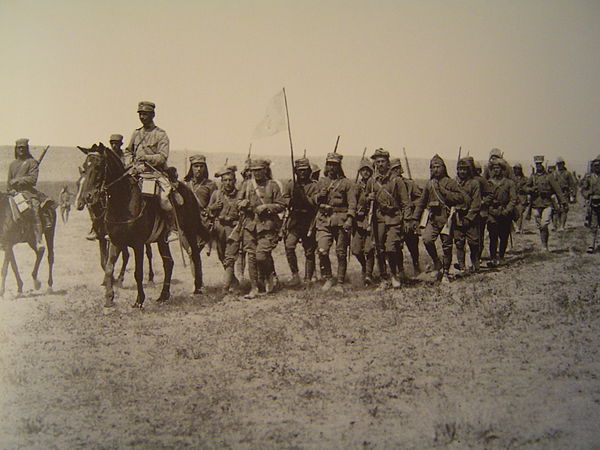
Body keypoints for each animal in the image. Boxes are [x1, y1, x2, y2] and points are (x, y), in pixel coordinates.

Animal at [76, 142, 207, 308]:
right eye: (84, 167)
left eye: (98, 166)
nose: (87, 196)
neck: (123, 202)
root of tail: (189, 192)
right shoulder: (115, 241)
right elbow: (109, 267)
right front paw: (109, 298)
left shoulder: (138, 244)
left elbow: (138, 273)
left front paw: (139, 301)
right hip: (161, 240)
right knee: (169, 263)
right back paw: (163, 296)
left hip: (189, 230)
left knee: (195, 255)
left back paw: (197, 289)